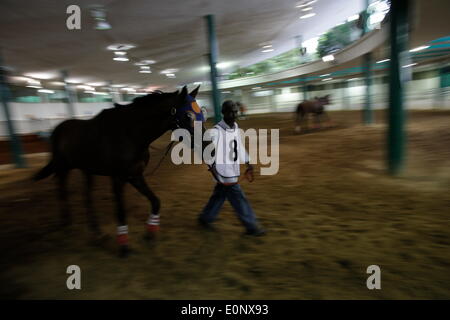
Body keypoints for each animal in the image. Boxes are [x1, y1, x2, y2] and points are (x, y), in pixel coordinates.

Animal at [34, 85, 203, 258]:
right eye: (188, 115)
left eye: (201, 113)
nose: (204, 142)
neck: (130, 134)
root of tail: (58, 129)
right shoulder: (118, 178)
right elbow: (121, 211)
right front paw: (124, 246)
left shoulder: (135, 175)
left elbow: (156, 202)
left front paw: (149, 234)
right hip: (63, 169)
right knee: (62, 192)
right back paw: (66, 223)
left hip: (86, 171)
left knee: (86, 197)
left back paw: (96, 232)